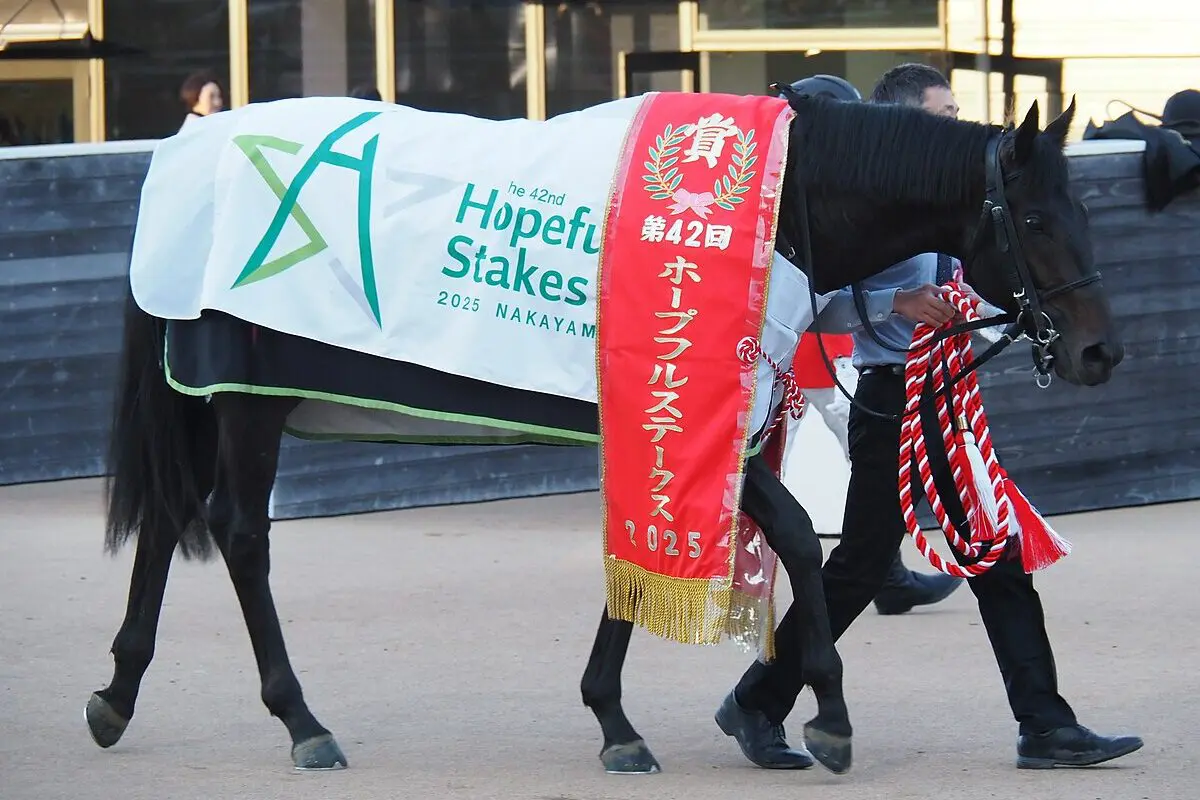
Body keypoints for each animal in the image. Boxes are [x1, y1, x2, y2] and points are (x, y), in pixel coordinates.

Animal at [85, 92, 1121, 777]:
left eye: (1085, 210)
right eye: (1035, 216)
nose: (1098, 352)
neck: (775, 209)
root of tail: (189, 152)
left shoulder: (690, 420)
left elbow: (657, 548)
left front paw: (624, 719)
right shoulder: (686, 408)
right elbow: (791, 536)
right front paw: (823, 713)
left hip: (210, 400)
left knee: (171, 520)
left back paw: (117, 695)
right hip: (245, 398)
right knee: (238, 533)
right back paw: (301, 721)